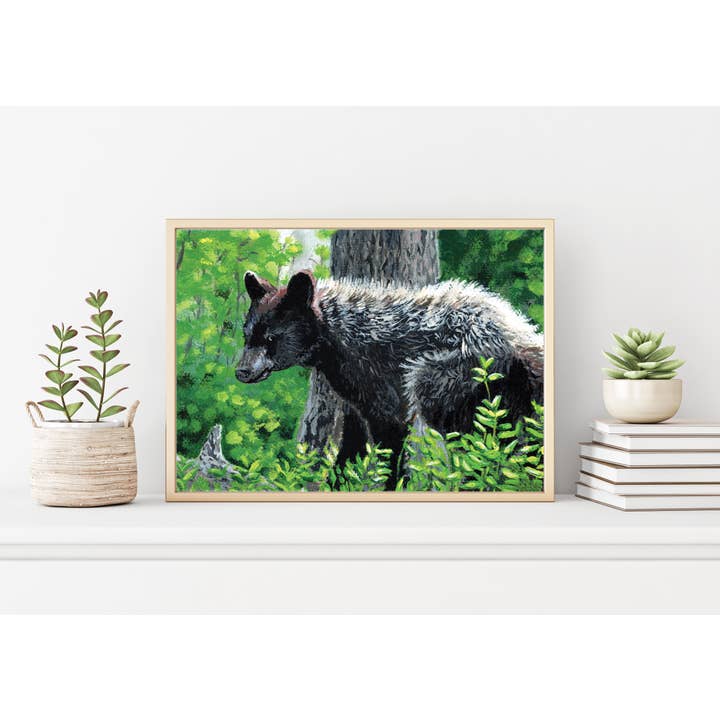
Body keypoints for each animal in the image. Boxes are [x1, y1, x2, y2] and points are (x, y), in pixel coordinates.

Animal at [236, 269, 544, 486]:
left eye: (271, 338)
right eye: (247, 335)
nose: (241, 372)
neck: (339, 341)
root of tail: (520, 337)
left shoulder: (386, 402)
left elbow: (391, 460)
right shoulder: (357, 405)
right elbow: (347, 455)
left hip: (436, 384)